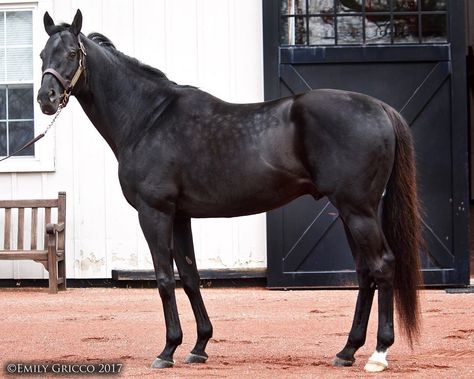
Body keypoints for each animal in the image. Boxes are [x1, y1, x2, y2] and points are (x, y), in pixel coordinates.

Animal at [37, 10, 422, 372]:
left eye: (71, 52)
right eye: (42, 54)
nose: (45, 98)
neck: (148, 119)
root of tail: (380, 108)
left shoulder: (154, 213)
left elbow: (164, 279)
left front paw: (167, 350)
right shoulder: (181, 216)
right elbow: (190, 276)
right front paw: (198, 346)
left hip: (358, 210)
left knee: (382, 265)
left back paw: (378, 353)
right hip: (348, 211)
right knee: (365, 272)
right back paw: (347, 351)